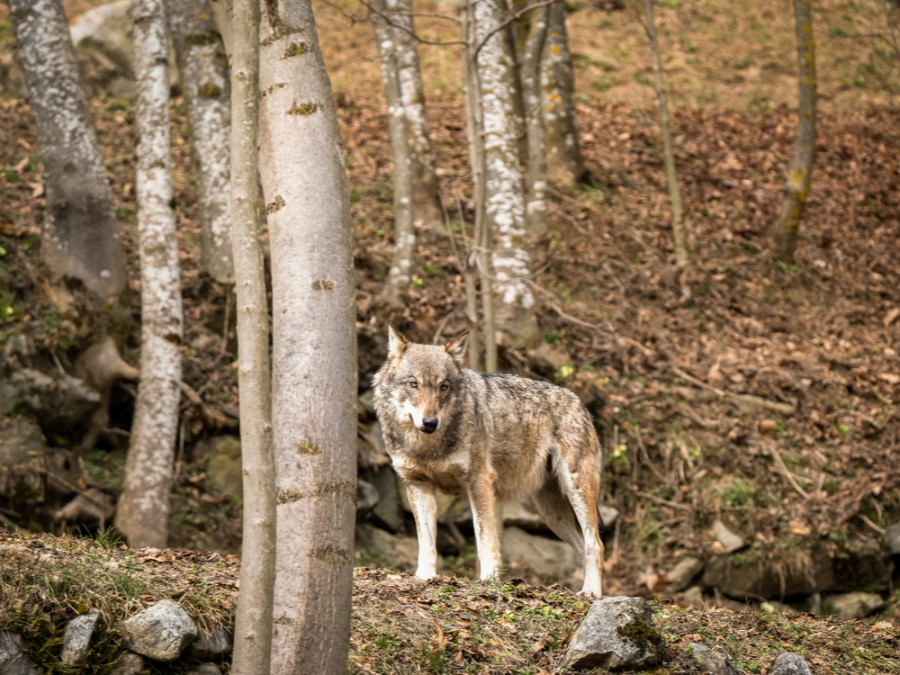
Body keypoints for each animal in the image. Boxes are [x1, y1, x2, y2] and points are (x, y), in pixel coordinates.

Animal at [372, 328, 604, 596]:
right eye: (413, 384)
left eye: (444, 386)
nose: (430, 422)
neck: (427, 446)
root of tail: (580, 404)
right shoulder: (418, 485)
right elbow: (427, 543)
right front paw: (424, 577)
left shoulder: (479, 482)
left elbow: (485, 538)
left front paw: (489, 581)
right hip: (551, 514)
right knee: (582, 546)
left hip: (576, 490)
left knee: (595, 544)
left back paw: (591, 593)